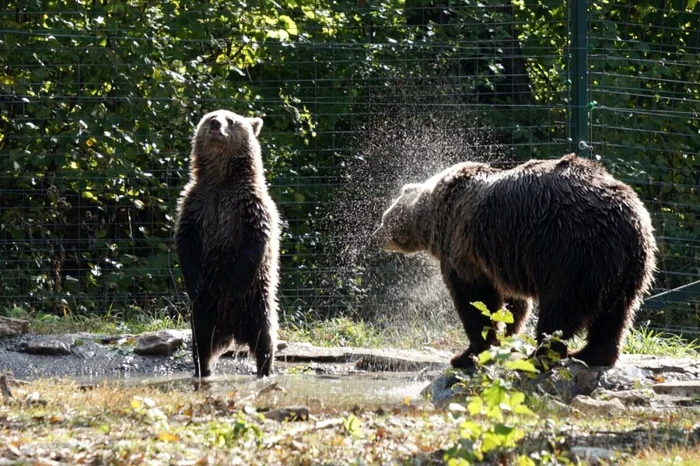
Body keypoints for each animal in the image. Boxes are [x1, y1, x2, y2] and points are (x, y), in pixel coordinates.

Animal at [174, 110, 278, 378]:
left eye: (230, 120)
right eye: (210, 115)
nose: (214, 124)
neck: (221, 179)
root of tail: (232, 332)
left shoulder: (249, 204)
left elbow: (256, 241)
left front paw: (236, 282)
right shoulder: (196, 204)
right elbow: (185, 242)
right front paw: (195, 284)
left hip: (256, 303)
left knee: (265, 339)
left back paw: (264, 370)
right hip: (205, 311)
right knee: (201, 342)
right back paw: (203, 370)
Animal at [378, 156, 656, 368]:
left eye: (384, 218)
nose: (375, 234)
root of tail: (628, 221)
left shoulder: (462, 246)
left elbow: (474, 300)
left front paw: (467, 354)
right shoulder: (506, 257)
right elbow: (516, 303)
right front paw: (508, 334)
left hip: (572, 253)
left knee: (561, 310)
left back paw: (541, 355)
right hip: (628, 267)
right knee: (616, 315)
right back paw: (591, 355)